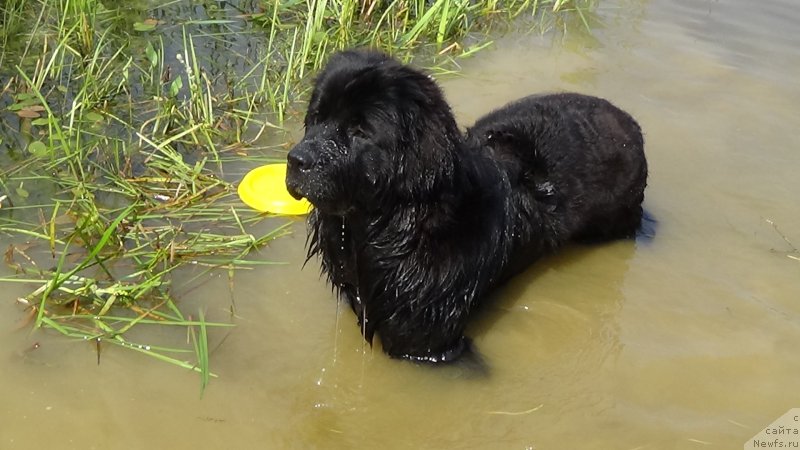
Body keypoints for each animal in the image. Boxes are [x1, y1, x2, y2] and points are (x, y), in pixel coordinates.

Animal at [284, 49, 648, 364]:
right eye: (316, 117)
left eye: (359, 130)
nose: (296, 160)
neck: (394, 227)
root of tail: (629, 121)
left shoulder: (428, 338)